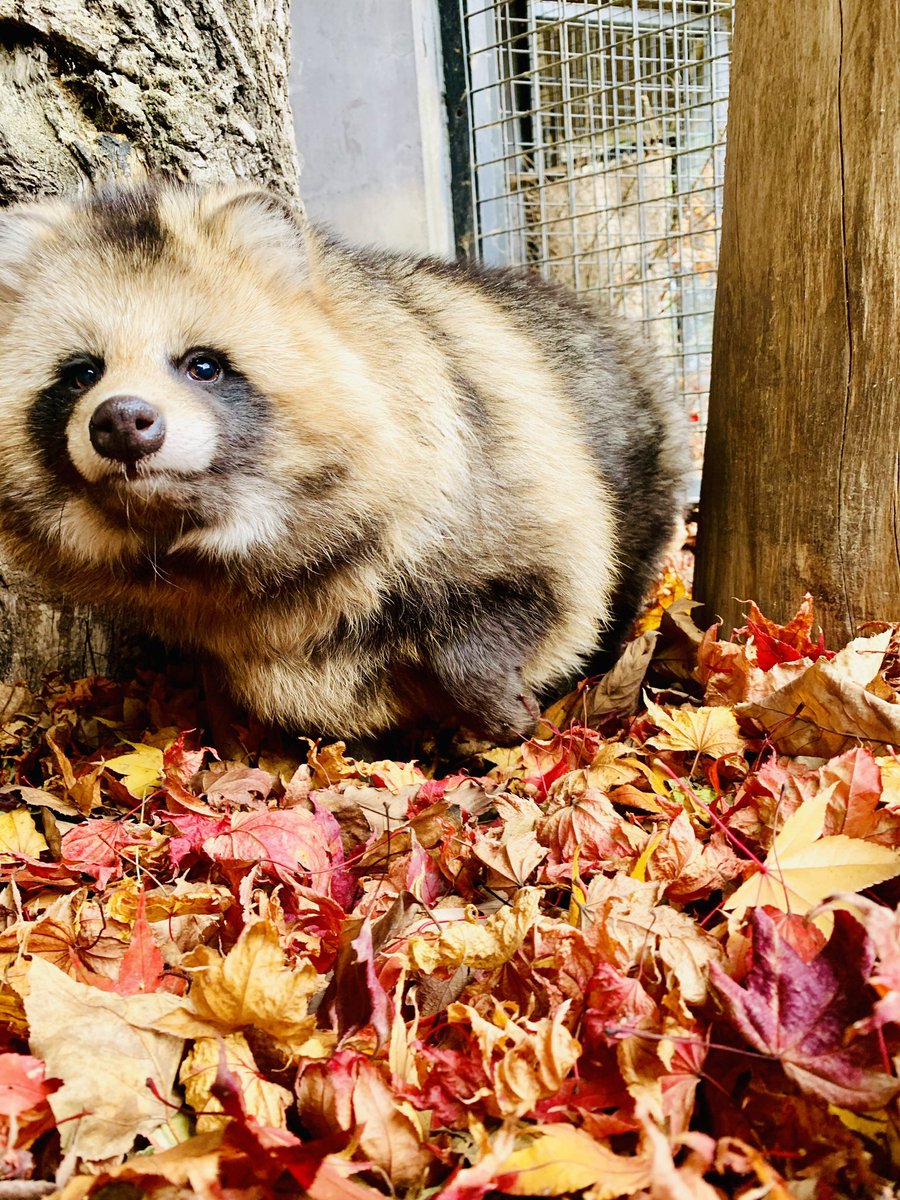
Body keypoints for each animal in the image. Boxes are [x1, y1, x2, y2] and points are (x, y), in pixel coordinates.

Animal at [0, 180, 681, 739]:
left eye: (204, 365)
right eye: (82, 373)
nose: (120, 423)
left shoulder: (507, 463)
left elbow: (551, 584)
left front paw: (488, 694)